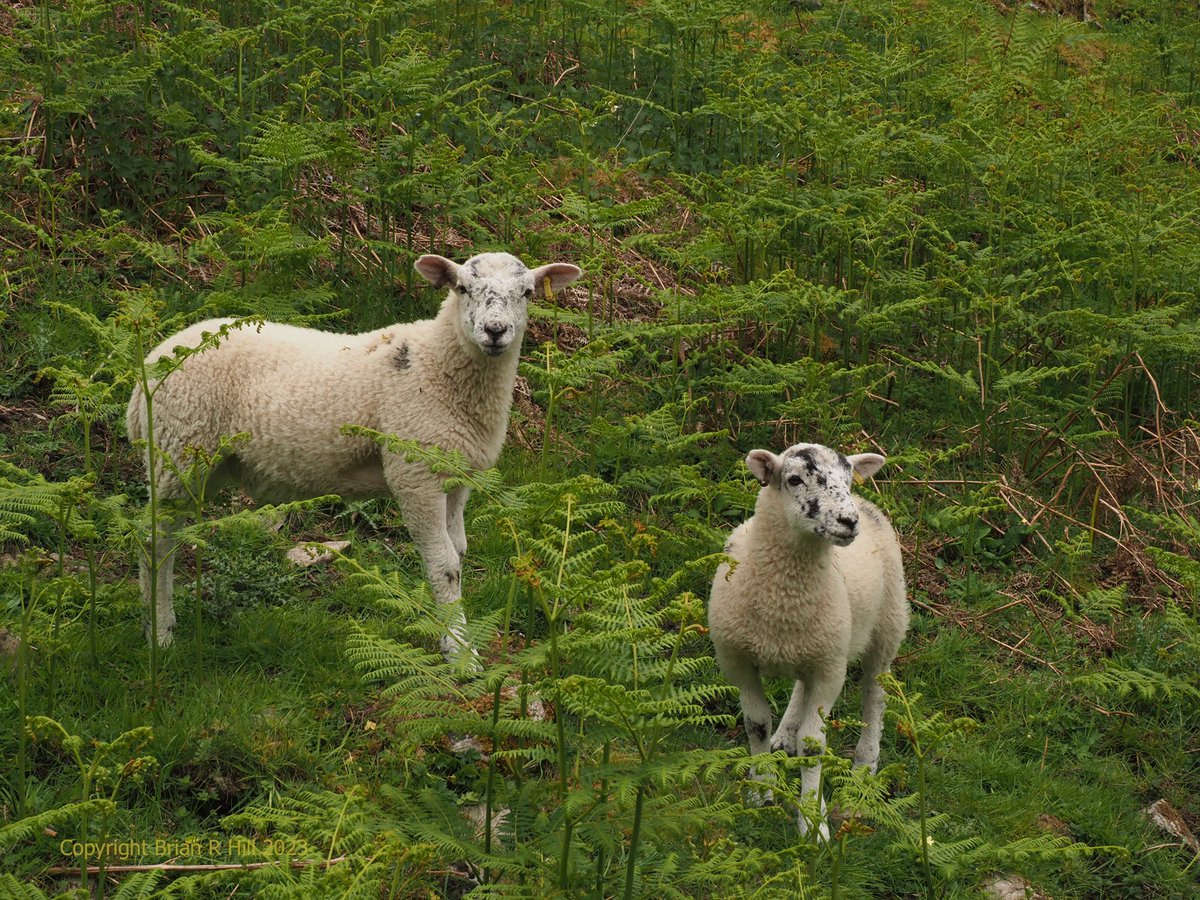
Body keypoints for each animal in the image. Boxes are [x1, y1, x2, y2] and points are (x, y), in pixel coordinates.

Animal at [125, 254, 580, 672]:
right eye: (463, 288)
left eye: (527, 293)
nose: (495, 331)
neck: (435, 364)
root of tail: (149, 365)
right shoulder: (414, 472)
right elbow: (444, 565)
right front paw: (460, 654)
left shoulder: (458, 478)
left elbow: (461, 552)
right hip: (177, 449)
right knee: (155, 543)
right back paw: (159, 634)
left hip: (196, 461)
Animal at [705, 444, 902, 840]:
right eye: (794, 479)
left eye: (847, 480)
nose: (848, 521)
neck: (784, 600)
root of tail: (869, 504)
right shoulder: (738, 661)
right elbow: (756, 724)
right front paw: (761, 789)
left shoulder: (829, 670)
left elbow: (812, 746)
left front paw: (813, 821)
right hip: (815, 644)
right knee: (800, 685)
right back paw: (785, 734)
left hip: (888, 623)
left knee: (875, 696)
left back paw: (864, 767)